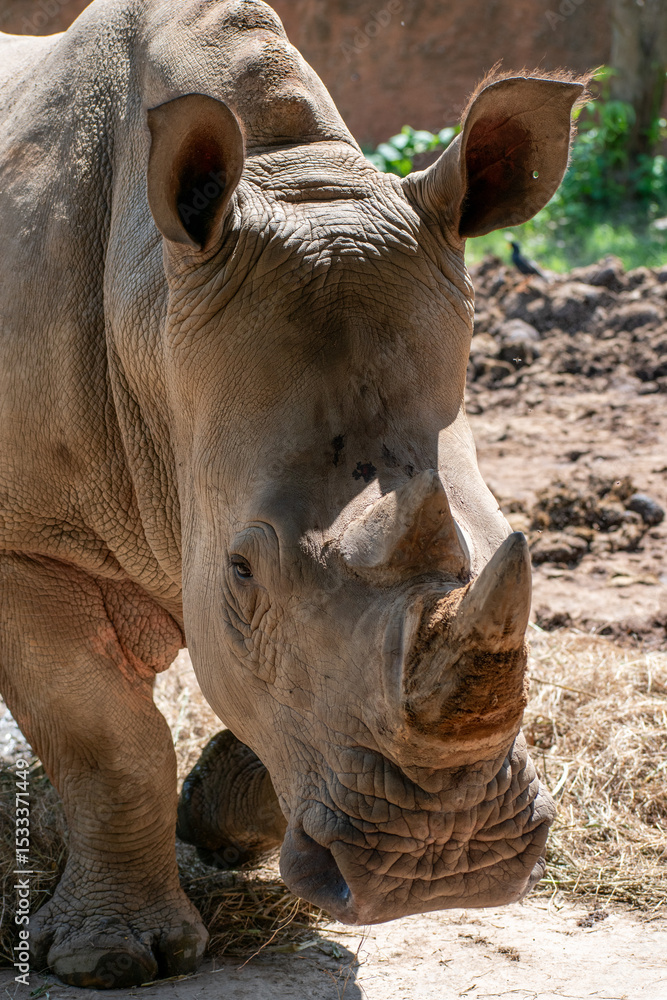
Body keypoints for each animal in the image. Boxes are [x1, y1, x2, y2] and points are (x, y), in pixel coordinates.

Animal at [0, 0, 584, 988]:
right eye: (242, 574)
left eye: (510, 538)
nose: (443, 864)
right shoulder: (25, 539)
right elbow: (110, 740)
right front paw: (112, 961)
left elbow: (268, 698)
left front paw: (216, 820)